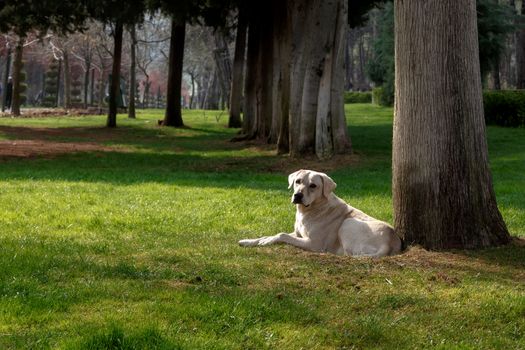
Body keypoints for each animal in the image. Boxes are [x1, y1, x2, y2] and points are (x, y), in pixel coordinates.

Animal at [237, 170, 402, 258]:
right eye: (297, 181)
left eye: (313, 185)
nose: (297, 195)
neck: (309, 210)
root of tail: (390, 241)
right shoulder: (298, 234)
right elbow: (271, 235)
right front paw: (249, 241)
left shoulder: (312, 243)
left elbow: (282, 235)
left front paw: (266, 242)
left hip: (348, 223)